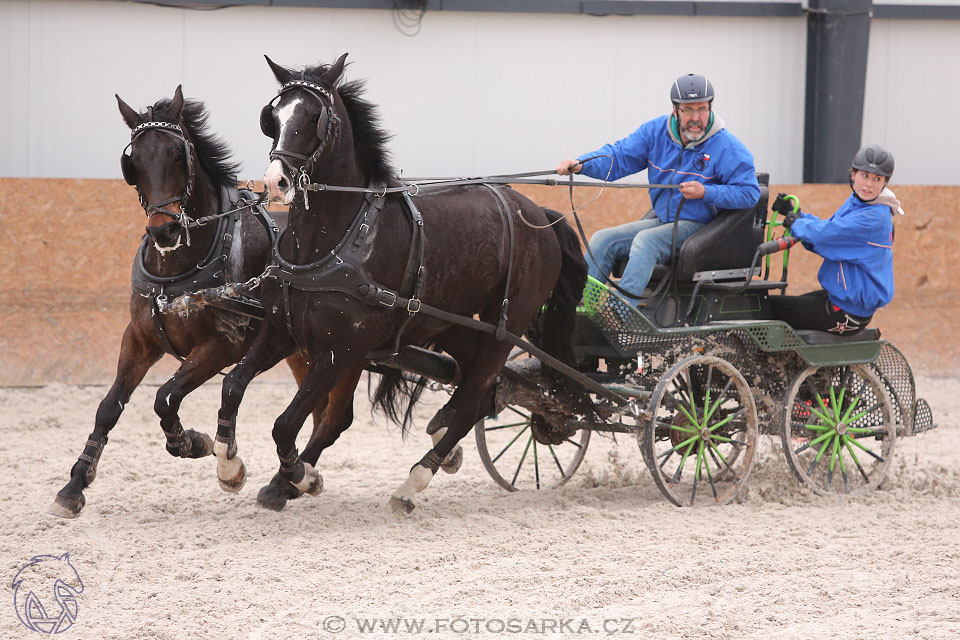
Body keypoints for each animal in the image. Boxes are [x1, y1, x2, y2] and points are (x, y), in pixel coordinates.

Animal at [48, 87, 364, 516]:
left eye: (178, 155)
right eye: (133, 161)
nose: (163, 231)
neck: (180, 267)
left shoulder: (225, 345)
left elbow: (165, 398)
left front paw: (200, 447)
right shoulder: (139, 339)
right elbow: (109, 407)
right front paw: (74, 485)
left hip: (345, 353)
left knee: (334, 418)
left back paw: (293, 481)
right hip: (302, 353)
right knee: (318, 413)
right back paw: (288, 482)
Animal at [212, 56, 584, 516]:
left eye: (314, 117)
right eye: (274, 116)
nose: (276, 181)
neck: (335, 241)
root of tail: (539, 213)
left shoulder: (339, 351)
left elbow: (285, 424)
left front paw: (303, 476)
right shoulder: (282, 330)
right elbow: (233, 386)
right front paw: (230, 467)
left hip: (505, 326)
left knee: (475, 394)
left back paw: (413, 482)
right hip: (454, 322)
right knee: (476, 392)